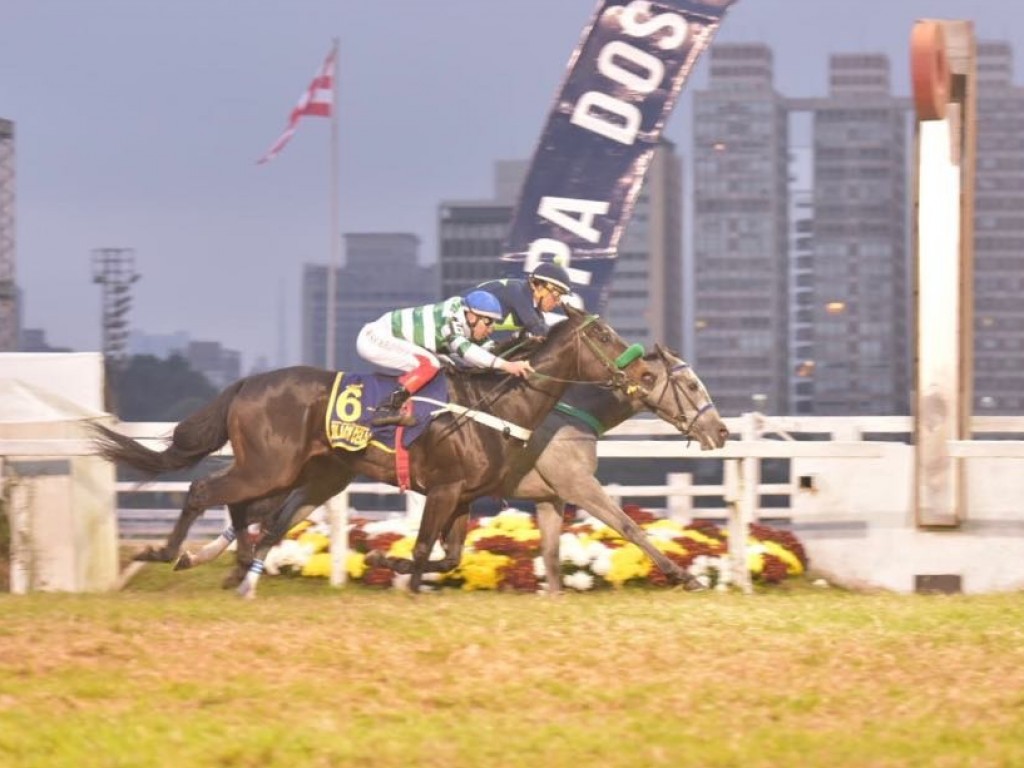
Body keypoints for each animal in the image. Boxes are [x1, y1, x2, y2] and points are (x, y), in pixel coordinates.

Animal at [92, 307, 651, 593]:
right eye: (604, 334)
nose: (642, 371)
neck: (496, 403)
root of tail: (249, 382)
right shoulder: (443, 488)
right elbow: (425, 548)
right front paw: (406, 580)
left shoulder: (464, 496)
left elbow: (450, 554)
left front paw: (395, 565)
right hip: (271, 467)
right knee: (204, 491)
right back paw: (166, 553)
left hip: (301, 473)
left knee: (245, 509)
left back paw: (236, 567)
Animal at [182, 346, 729, 593]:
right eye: (692, 386)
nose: (720, 431)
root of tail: (250, 382)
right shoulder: (576, 484)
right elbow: (628, 526)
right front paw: (685, 576)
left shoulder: (549, 497)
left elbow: (553, 556)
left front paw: (553, 594)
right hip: (285, 468)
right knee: (249, 508)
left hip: (319, 475)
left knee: (268, 516)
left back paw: (223, 565)